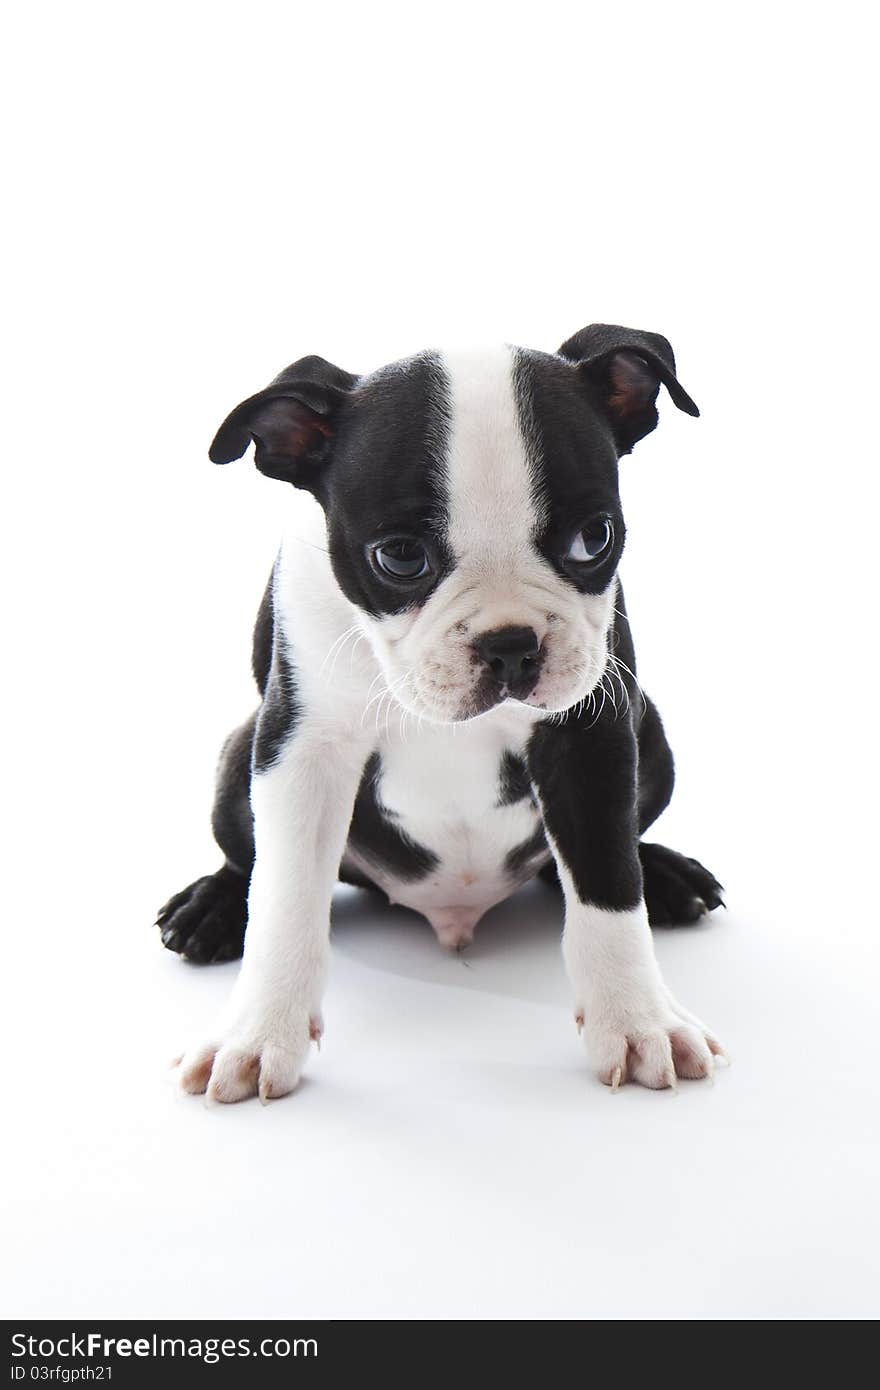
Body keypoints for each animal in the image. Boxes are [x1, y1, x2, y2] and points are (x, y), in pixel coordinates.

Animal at [161, 319, 722, 1100]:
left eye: (595, 538)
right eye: (400, 558)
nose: (512, 645)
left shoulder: (592, 732)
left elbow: (608, 881)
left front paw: (640, 1021)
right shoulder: (302, 749)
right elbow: (285, 897)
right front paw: (257, 1032)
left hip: (654, 736)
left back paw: (666, 875)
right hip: (240, 751)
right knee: (242, 858)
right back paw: (209, 908)